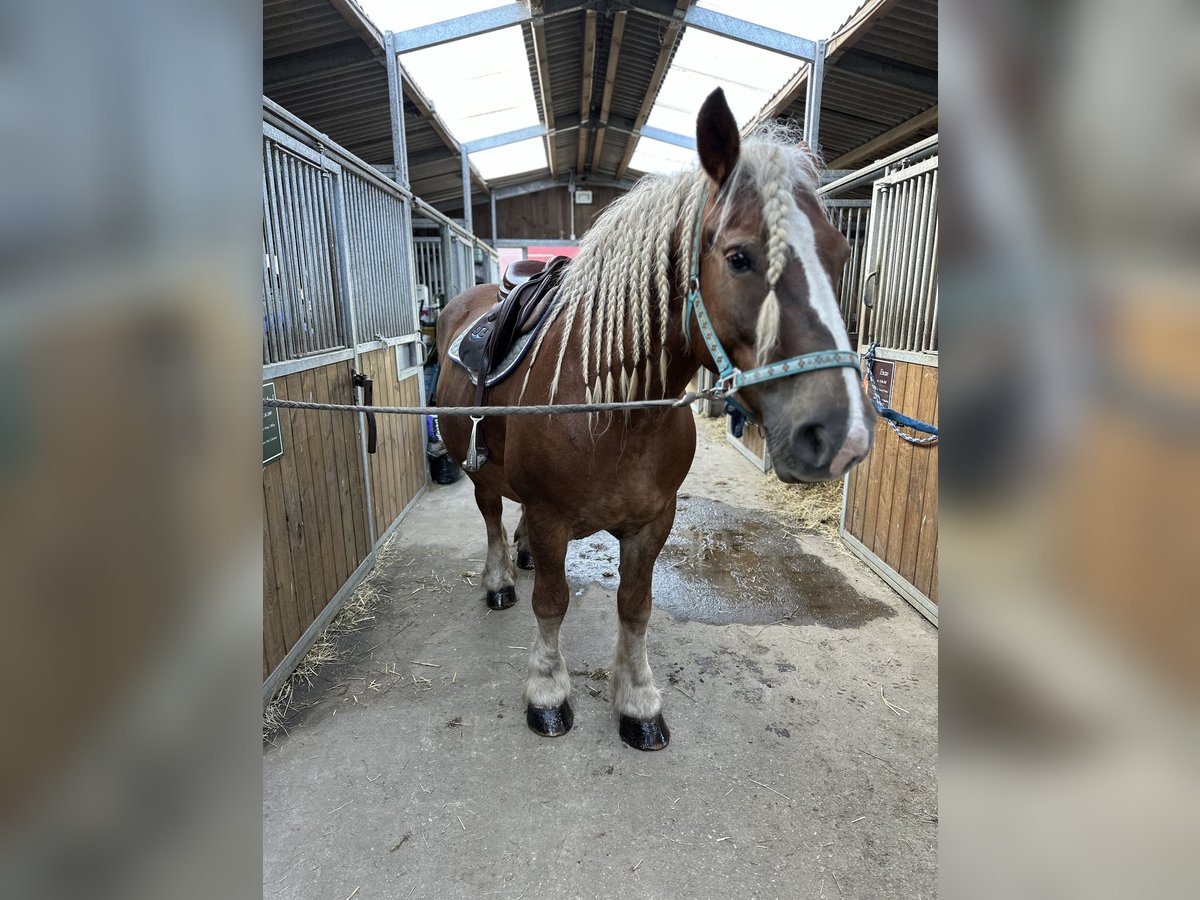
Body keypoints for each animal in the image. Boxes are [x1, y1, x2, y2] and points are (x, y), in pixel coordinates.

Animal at [436, 90, 878, 753]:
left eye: (840, 255)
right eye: (740, 257)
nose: (842, 435)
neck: (612, 414)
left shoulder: (653, 521)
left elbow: (636, 605)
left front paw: (638, 702)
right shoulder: (551, 515)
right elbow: (552, 603)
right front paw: (548, 693)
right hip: (478, 468)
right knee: (490, 516)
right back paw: (498, 582)